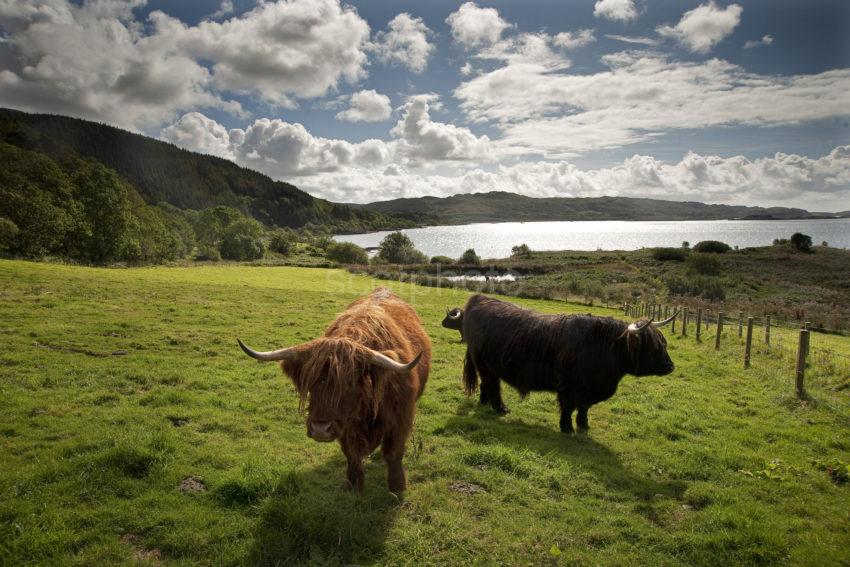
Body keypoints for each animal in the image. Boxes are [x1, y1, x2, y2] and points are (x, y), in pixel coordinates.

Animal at [458, 296, 676, 432]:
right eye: (652, 346)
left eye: (663, 344)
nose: (670, 366)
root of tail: (480, 299)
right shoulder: (568, 386)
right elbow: (569, 407)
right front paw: (567, 428)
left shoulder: (591, 389)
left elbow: (584, 407)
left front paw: (584, 425)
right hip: (484, 364)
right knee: (492, 386)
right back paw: (500, 408)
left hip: (487, 366)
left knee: (487, 384)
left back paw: (484, 403)